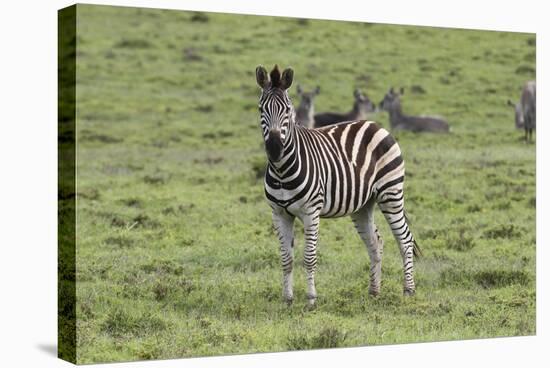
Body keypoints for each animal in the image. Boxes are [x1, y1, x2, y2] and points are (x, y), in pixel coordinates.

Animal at [256, 64, 420, 306]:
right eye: (261, 109)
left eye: (287, 110)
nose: (275, 149)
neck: (282, 170)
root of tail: (375, 125)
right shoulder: (279, 213)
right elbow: (286, 258)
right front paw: (287, 300)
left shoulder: (311, 211)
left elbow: (309, 257)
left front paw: (311, 300)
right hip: (363, 204)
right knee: (375, 243)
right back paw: (374, 291)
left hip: (391, 192)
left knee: (405, 240)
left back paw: (408, 290)